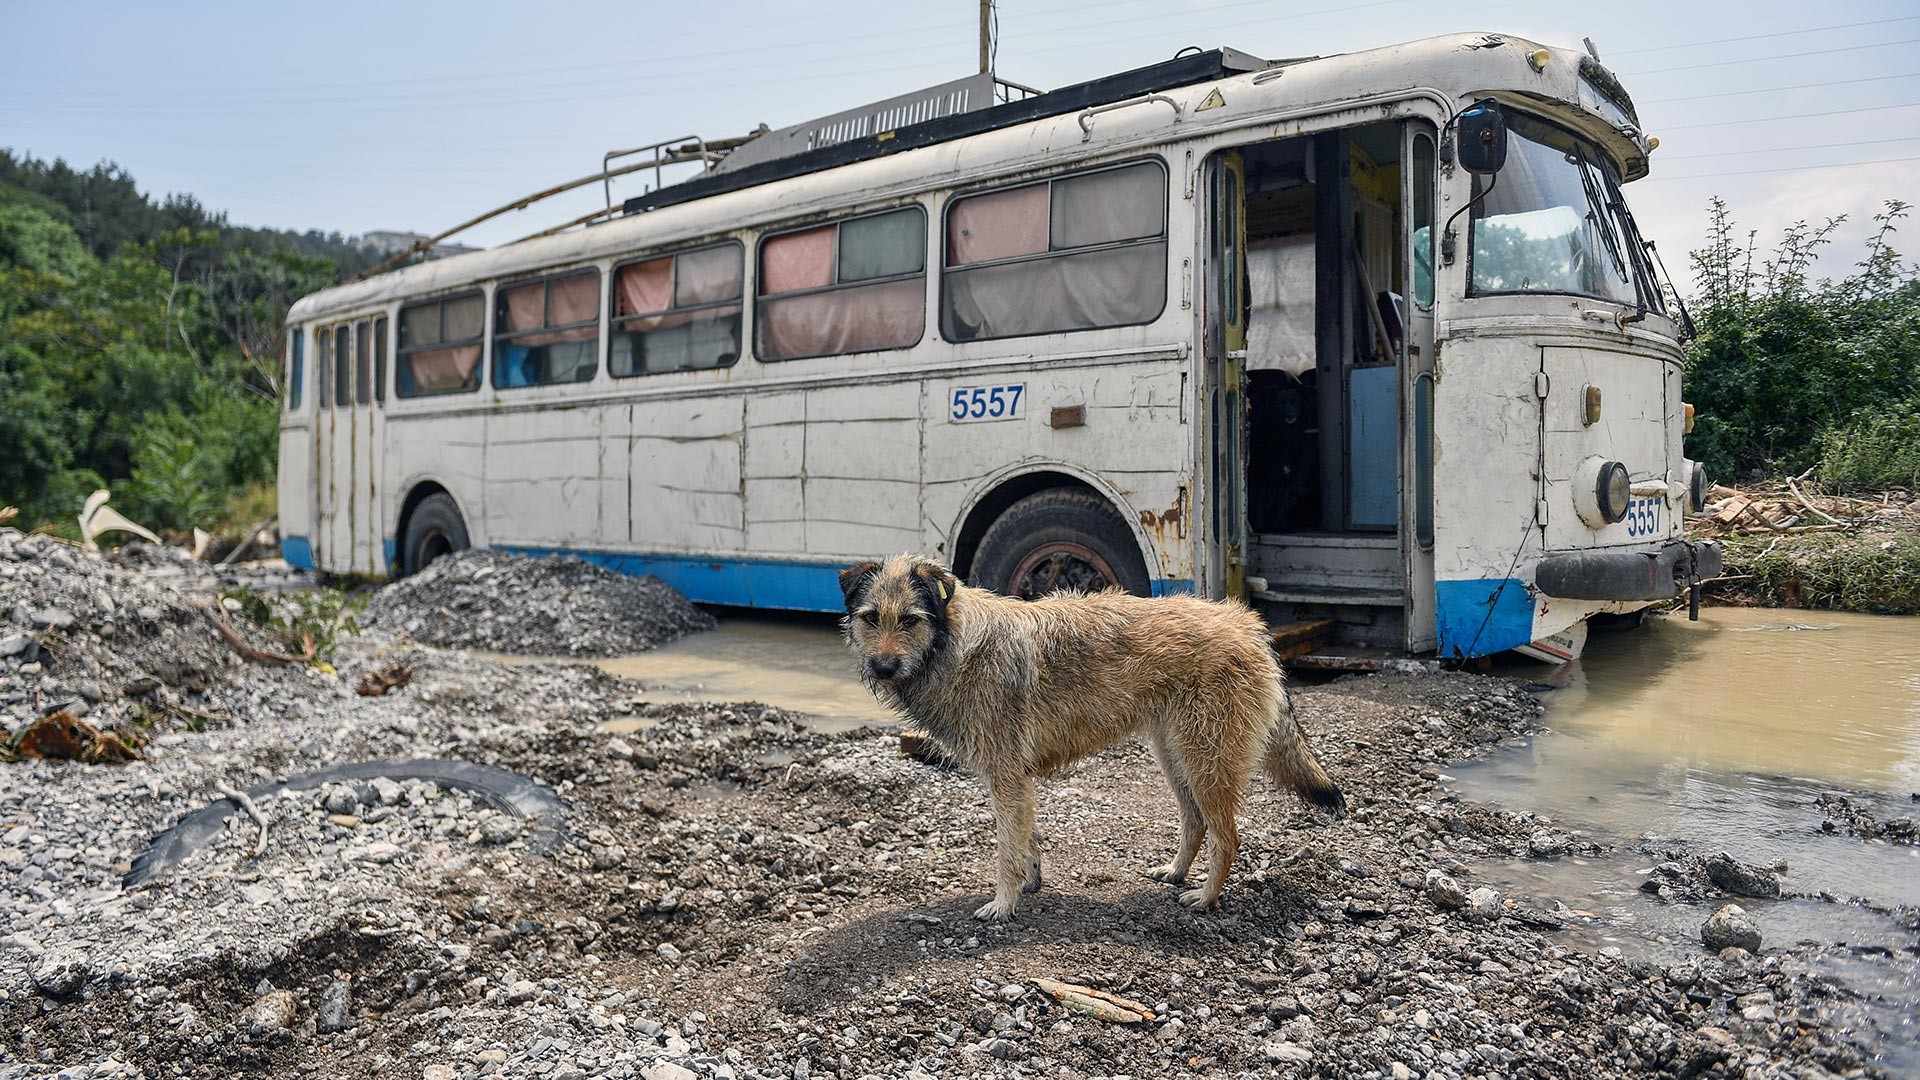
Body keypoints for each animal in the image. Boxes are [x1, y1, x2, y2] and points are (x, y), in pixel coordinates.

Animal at [833, 553, 1344, 914]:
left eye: (911, 620)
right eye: (870, 617)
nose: (883, 667)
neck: (954, 645)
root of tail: (1247, 625)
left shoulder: (1006, 777)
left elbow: (1005, 848)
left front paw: (1003, 904)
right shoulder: (1017, 781)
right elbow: (1026, 838)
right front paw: (1030, 883)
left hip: (1206, 762)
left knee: (1229, 836)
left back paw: (1206, 898)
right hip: (1175, 757)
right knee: (1195, 822)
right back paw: (1177, 872)